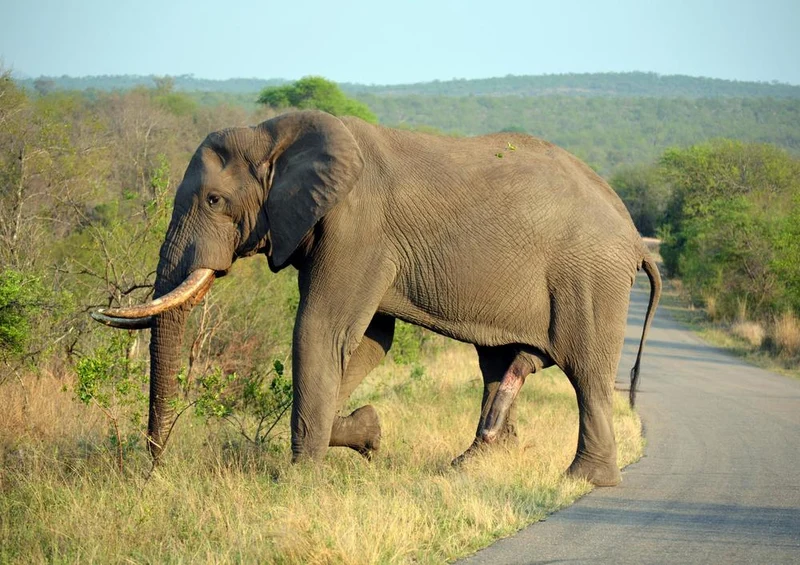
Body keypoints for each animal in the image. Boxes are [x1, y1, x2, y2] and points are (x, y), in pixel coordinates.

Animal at [92, 110, 661, 487]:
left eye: (214, 200)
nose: (155, 471)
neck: (274, 135)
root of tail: (634, 238)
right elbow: (368, 340)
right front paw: (368, 435)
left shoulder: (357, 226)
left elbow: (321, 330)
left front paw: (299, 481)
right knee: (501, 363)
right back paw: (471, 463)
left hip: (591, 276)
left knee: (586, 369)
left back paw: (583, 480)